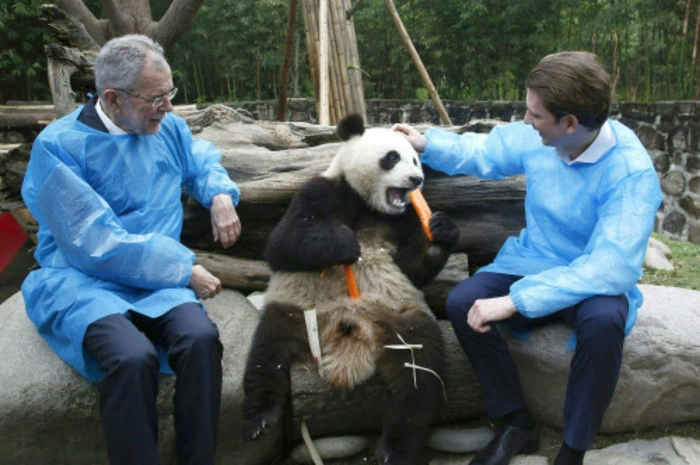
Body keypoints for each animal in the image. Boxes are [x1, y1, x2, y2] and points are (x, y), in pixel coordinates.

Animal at [242, 113, 460, 464]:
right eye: (392, 157)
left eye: (416, 160)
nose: (415, 180)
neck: (368, 206)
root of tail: (351, 327)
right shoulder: (320, 192)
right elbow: (282, 243)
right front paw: (343, 243)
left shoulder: (404, 220)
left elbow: (411, 269)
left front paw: (441, 230)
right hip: (295, 310)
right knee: (266, 351)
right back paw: (259, 418)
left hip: (401, 316)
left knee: (419, 371)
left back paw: (396, 448)